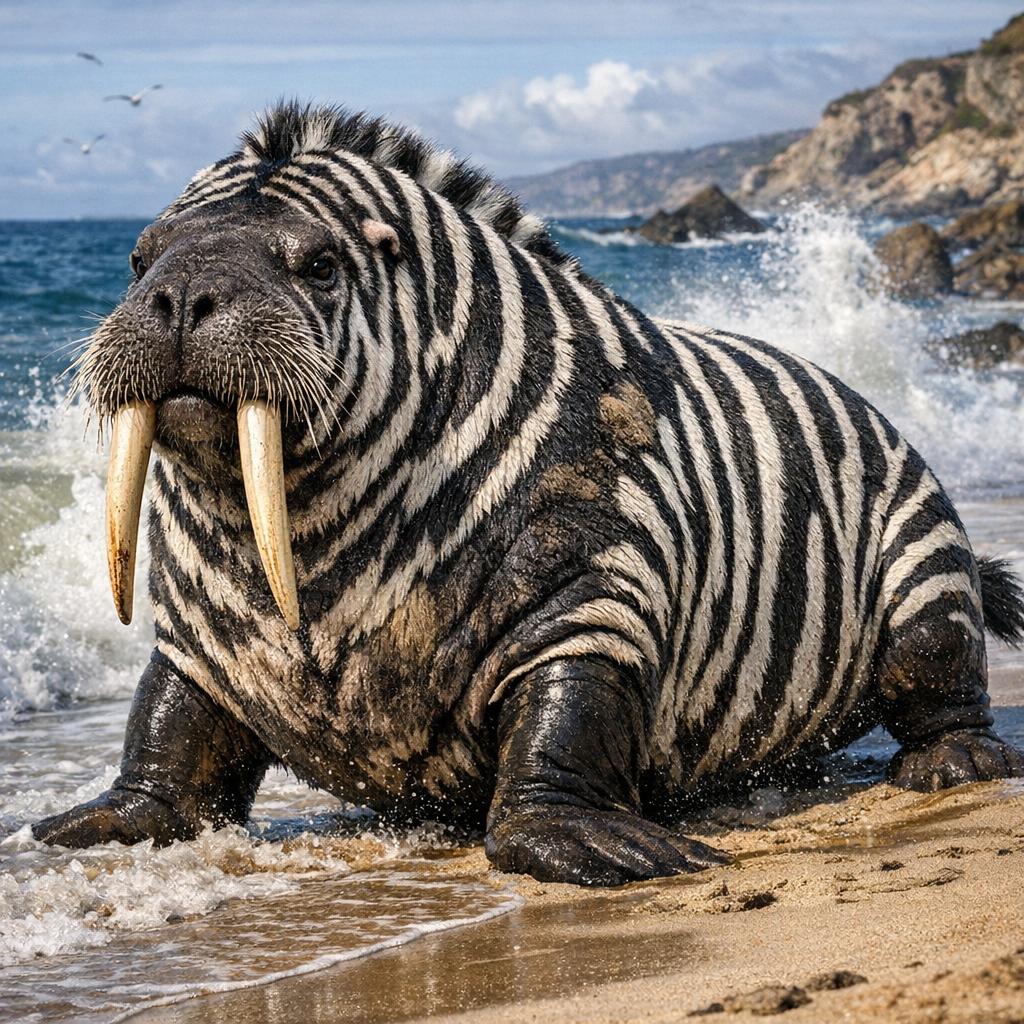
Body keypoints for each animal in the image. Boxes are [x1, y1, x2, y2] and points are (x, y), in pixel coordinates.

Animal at [35, 100, 1024, 886]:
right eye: (137, 260)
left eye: (318, 265)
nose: (180, 294)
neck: (322, 550)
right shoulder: (201, 642)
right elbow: (170, 732)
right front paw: (96, 822)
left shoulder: (594, 590)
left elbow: (568, 719)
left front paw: (598, 844)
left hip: (922, 575)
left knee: (940, 676)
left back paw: (952, 766)